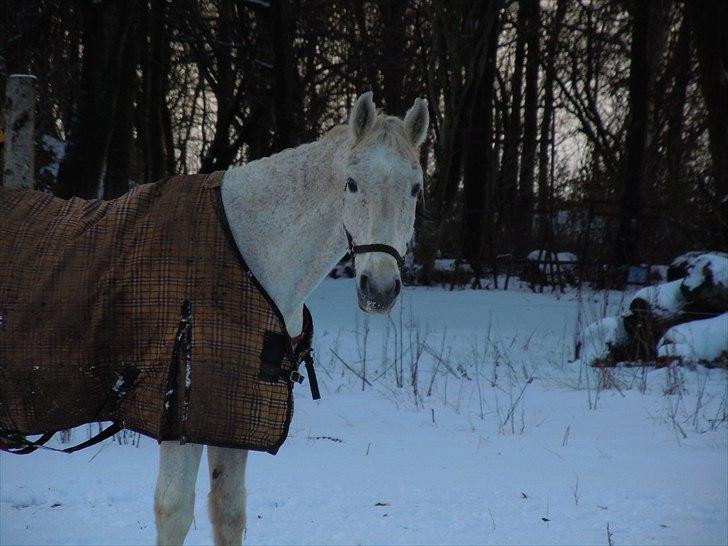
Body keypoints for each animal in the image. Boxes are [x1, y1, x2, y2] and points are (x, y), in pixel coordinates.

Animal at [152, 91, 426, 540]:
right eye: (351, 184)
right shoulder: (178, 413)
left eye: (415, 189)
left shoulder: (230, 410)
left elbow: (229, 509)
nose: (380, 289)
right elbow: (174, 509)